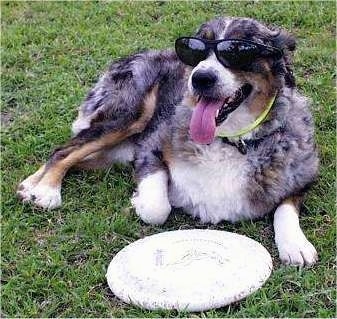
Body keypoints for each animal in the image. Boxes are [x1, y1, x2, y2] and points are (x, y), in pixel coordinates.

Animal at [17, 17, 318, 268]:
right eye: (195, 49)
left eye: (238, 51)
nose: (200, 78)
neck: (231, 140)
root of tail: (135, 55)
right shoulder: (150, 147)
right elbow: (156, 208)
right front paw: (139, 201)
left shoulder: (302, 173)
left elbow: (285, 207)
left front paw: (295, 245)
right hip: (130, 115)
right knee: (64, 150)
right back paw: (46, 191)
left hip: (111, 155)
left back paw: (31, 186)